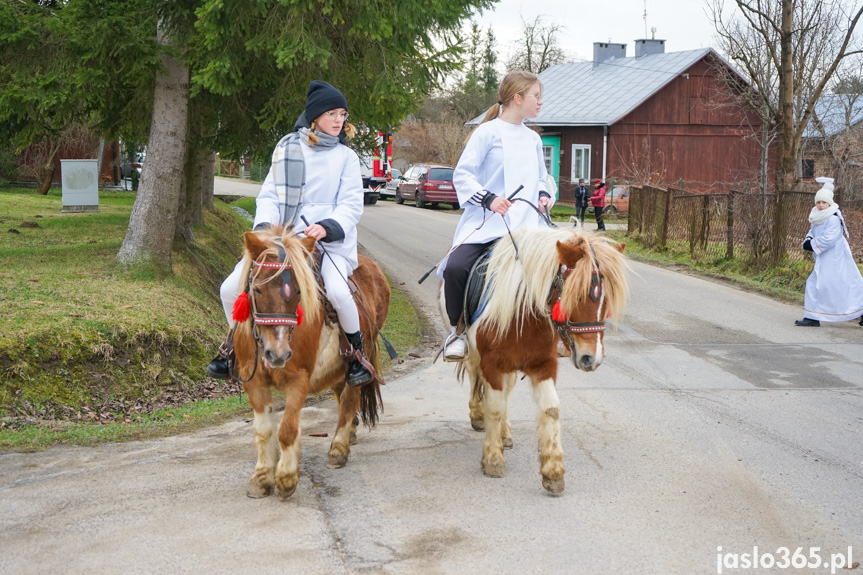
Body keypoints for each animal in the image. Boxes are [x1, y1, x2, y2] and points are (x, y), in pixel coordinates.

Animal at [231, 225, 390, 500]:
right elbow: (263, 431)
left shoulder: (299, 379)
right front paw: (261, 477)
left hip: (362, 355)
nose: (278, 354)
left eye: (297, 291)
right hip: (338, 367)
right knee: (341, 392)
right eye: (258, 290)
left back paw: (338, 449)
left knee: (350, 399)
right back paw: (351, 432)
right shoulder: (254, 381)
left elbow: (287, 430)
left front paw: (286, 478)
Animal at [446, 227, 628, 498]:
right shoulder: (492, 364)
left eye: (605, 300)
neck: (522, 312)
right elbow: (494, 407)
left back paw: (505, 433)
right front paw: (493, 459)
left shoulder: (543, 365)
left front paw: (553, 471)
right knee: (475, 377)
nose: (591, 359)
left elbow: (550, 409)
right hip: (475, 354)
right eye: (577, 295)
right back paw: (479, 417)